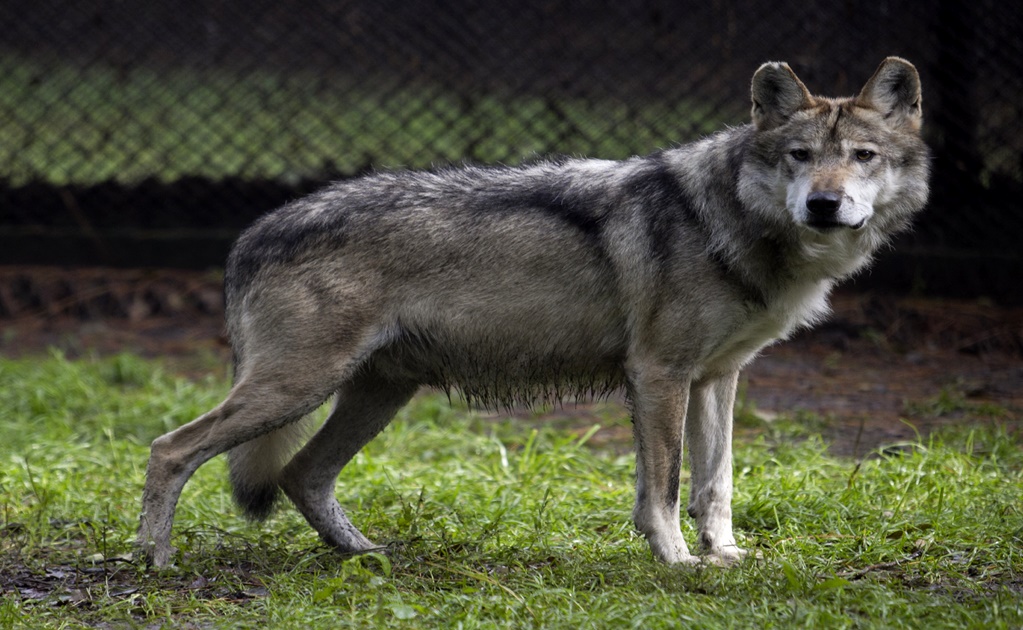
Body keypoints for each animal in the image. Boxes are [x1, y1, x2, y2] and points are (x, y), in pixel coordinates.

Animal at [140, 57, 932, 564]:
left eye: (862, 156)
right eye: (800, 155)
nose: (824, 204)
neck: (727, 220)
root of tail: (253, 232)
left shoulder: (715, 379)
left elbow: (715, 483)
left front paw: (726, 556)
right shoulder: (659, 376)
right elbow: (667, 486)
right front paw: (678, 562)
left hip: (374, 395)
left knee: (301, 473)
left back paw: (363, 553)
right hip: (299, 388)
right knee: (171, 448)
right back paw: (154, 560)